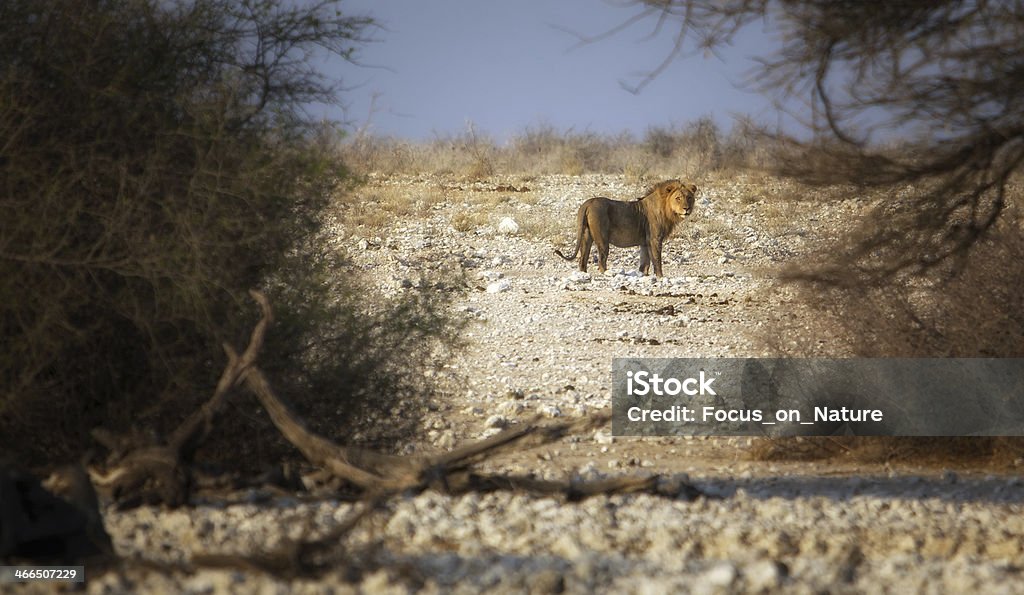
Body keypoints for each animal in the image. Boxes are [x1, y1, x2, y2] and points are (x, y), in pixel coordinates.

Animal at [557, 178, 700, 276]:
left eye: (689, 197)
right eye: (678, 198)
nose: (686, 208)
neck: (667, 209)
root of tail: (588, 203)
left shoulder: (645, 242)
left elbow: (645, 263)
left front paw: (644, 275)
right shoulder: (655, 239)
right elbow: (657, 260)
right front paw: (660, 277)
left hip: (586, 236)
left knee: (582, 260)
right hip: (602, 239)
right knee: (601, 260)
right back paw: (606, 274)